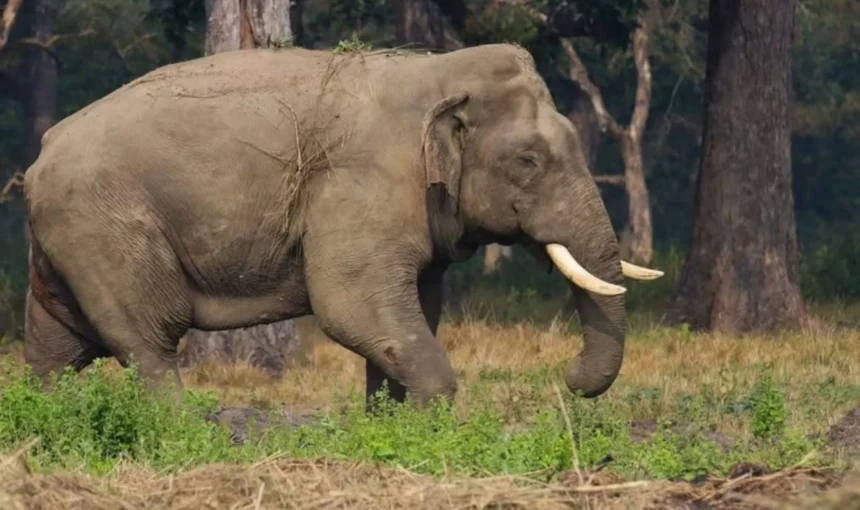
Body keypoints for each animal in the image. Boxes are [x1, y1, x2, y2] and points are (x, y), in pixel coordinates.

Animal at [22, 43, 663, 408]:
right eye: (528, 161)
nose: (568, 379)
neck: (435, 75)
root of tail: (39, 157)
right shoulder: (363, 184)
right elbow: (353, 308)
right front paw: (434, 425)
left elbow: (412, 312)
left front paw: (390, 425)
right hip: (103, 227)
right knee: (149, 338)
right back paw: (187, 434)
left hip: (68, 241)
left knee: (56, 345)